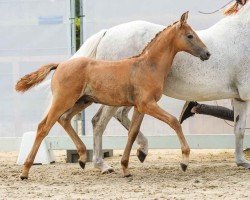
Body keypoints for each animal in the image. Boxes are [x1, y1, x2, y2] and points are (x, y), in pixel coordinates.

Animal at [16, 11, 211, 179]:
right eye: (190, 35)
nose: (207, 53)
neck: (147, 66)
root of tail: (60, 64)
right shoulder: (148, 104)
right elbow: (173, 121)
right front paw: (184, 161)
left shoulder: (140, 107)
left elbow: (133, 133)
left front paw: (126, 167)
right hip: (63, 100)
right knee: (43, 127)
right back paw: (25, 171)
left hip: (81, 101)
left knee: (64, 119)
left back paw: (82, 157)